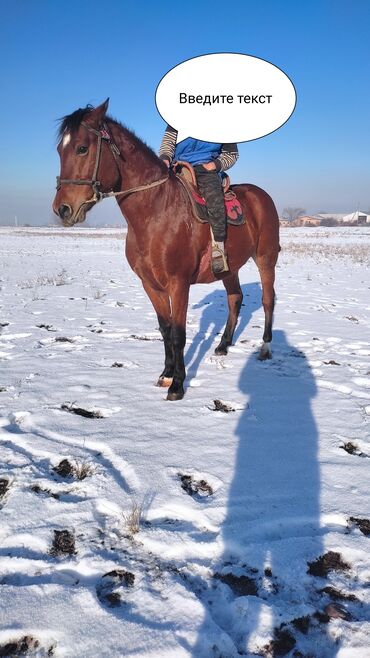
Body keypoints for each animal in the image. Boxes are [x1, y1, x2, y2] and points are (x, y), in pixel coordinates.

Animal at [53, 99, 278, 400]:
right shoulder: (151, 284)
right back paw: (222, 346)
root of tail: (261, 195)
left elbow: (179, 334)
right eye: (60, 150)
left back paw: (265, 348)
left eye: (81, 148)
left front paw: (178, 386)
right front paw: (166, 374)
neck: (157, 212)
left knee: (267, 300)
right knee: (235, 298)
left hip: (265, 259)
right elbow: (165, 329)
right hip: (229, 268)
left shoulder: (178, 283)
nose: (63, 209)